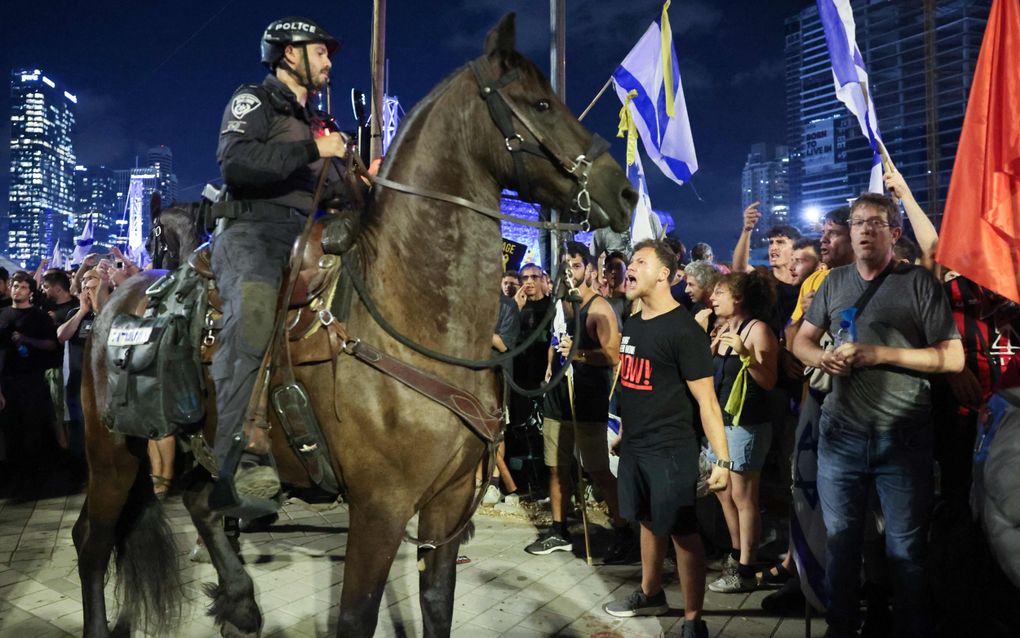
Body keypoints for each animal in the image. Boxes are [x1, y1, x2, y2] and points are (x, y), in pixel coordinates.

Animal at [79, 14, 632, 636]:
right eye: (540, 104)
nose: (625, 192)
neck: (419, 324)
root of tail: (117, 302)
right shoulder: (380, 508)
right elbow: (357, 615)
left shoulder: (447, 502)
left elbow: (437, 604)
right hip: (112, 450)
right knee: (94, 540)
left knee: (200, 504)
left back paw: (242, 601)